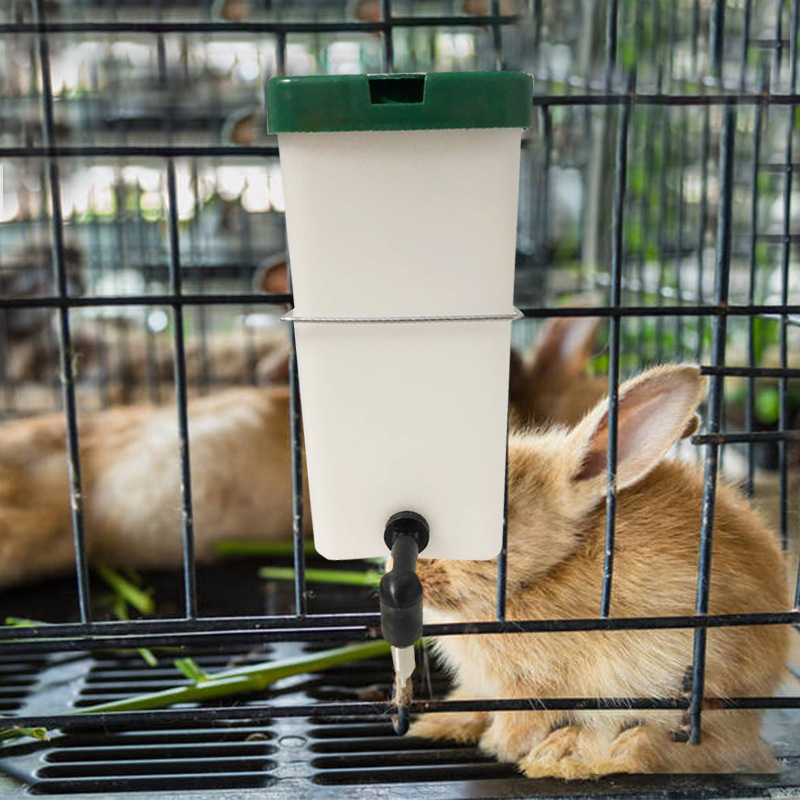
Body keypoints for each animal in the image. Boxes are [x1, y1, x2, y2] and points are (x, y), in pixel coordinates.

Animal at [410, 366, 792, 780]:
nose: (410, 571)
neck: (548, 567)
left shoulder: (537, 685)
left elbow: (523, 719)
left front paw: (500, 746)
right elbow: (475, 700)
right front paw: (441, 724)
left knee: (693, 748)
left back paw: (568, 757)